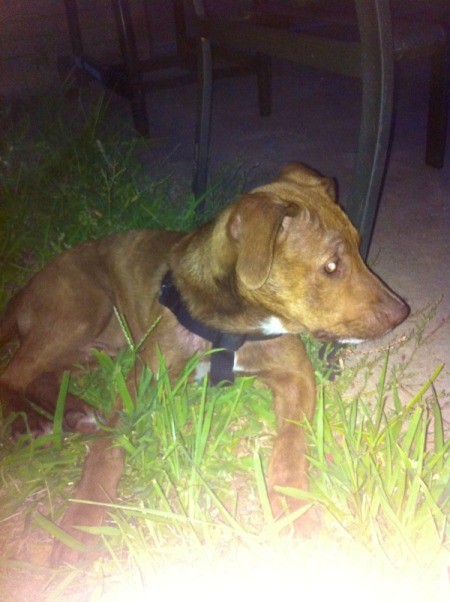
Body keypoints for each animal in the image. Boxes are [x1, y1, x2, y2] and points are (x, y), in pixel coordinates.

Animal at [0, 161, 408, 564]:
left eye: (359, 246)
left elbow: (291, 443)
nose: (401, 313)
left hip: (97, 346)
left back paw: (73, 413)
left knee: (43, 375)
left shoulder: (296, 374)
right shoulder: (142, 383)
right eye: (331, 266)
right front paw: (82, 521)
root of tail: (24, 289)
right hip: (86, 308)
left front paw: (294, 505)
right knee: (14, 374)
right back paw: (28, 421)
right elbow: (107, 451)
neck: (234, 323)